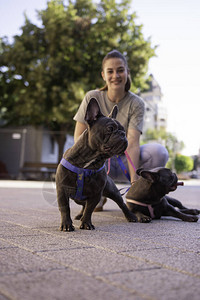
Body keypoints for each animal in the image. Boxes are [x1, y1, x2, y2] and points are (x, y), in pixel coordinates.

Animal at [55, 97, 138, 231]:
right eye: (110, 128)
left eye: (124, 130)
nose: (122, 134)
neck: (90, 161)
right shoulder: (62, 190)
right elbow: (65, 208)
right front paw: (66, 225)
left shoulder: (96, 194)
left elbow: (89, 209)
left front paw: (86, 223)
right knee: (83, 205)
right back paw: (79, 215)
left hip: (113, 191)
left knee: (121, 204)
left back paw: (131, 216)